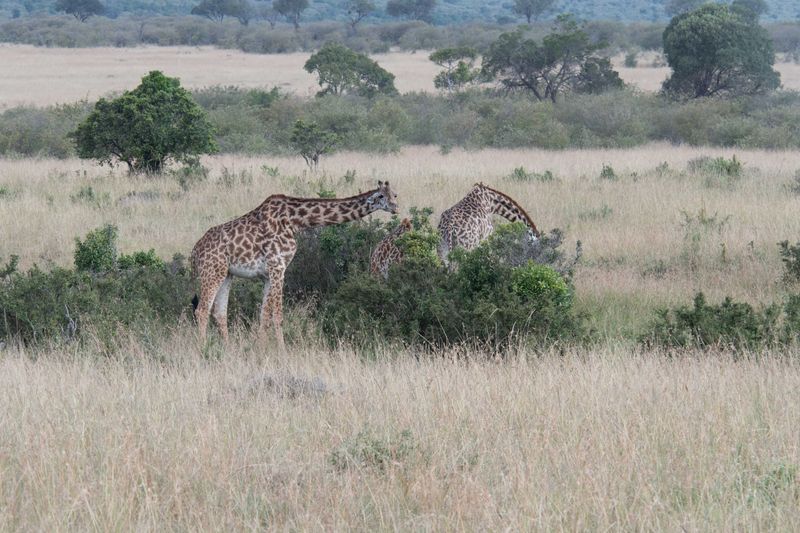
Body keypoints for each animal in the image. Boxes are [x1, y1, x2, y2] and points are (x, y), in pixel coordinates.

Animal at [188, 180, 400, 344]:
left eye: (395, 194)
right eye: (381, 196)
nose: (395, 207)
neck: (296, 220)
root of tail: (194, 252)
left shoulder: (267, 274)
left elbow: (264, 316)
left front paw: (261, 350)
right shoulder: (278, 267)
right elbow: (278, 316)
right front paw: (282, 353)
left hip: (226, 274)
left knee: (219, 313)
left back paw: (228, 350)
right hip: (211, 272)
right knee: (202, 311)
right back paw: (203, 350)